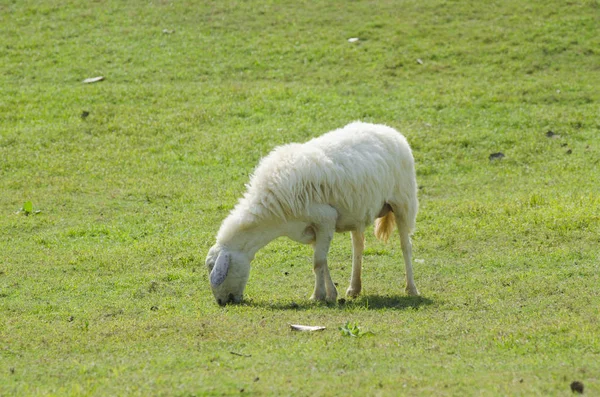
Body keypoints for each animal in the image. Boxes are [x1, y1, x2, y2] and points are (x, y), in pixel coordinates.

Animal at [204, 121, 420, 306]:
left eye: (213, 267)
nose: (221, 302)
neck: (273, 217)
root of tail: (389, 130)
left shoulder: (325, 219)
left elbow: (318, 262)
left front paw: (320, 295)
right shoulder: (311, 228)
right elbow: (322, 262)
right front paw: (328, 294)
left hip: (403, 201)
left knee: (406, 246)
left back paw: (411, 289)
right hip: (358, 210)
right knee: (358, 246)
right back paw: (354, 288)